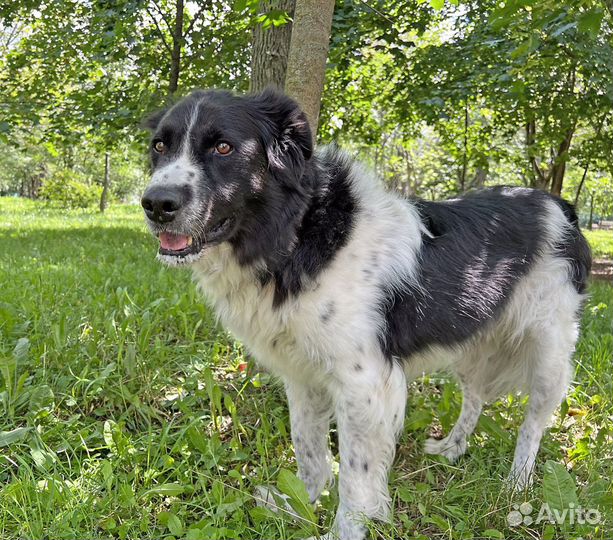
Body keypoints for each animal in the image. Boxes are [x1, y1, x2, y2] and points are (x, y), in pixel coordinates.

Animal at [141, 89, 592, 540]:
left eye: (223, 147)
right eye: (159, 146)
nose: (155, 204)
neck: (299, 235)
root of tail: (560, 204)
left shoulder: (364, 384)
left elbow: (356, 474)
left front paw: (346, 528)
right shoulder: (302, 374)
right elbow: (308, 448)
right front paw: (302, 503)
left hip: (549, 352)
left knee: (533, 423)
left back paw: (517, 482)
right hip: (471, 340)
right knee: (476, 397)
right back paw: (452, 447)